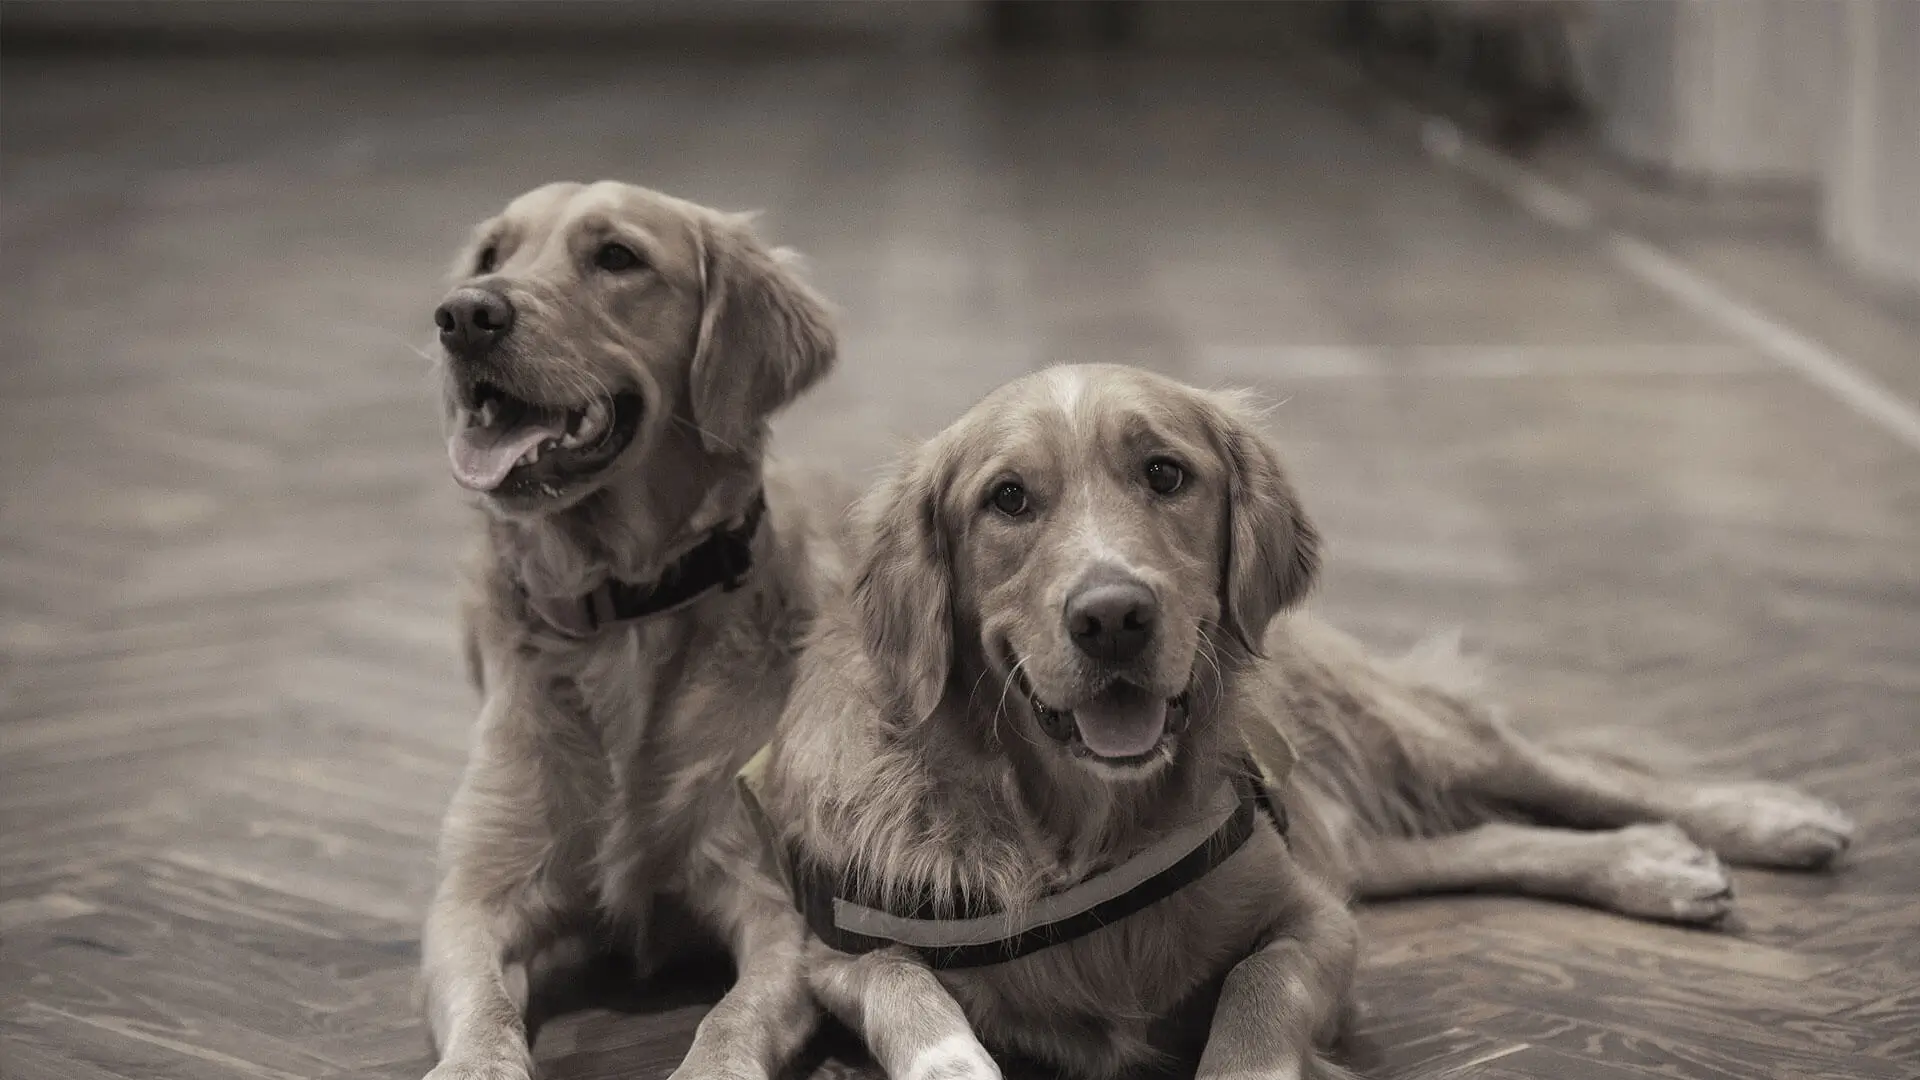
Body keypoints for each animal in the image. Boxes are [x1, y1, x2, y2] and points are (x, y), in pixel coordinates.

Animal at [424, 180, 844, 1068]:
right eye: (491, 255)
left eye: (617, 257)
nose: (465, 315)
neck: (620, 613)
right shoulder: (471, 899)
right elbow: (486, 1009)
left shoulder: (776, 907)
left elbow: (729, 1020)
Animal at [752, 363, 1858, 1076]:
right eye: (1008, 500)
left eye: (1165, 473)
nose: (1112, 617)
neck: (1078, 830)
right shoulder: (836, 954)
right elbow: (910, 1001)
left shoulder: (1309, 919)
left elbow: (1256, 997)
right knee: (1473, 840)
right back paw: (1656, 862)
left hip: (1396, 731)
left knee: (1560, 770)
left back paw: (1749, 823)